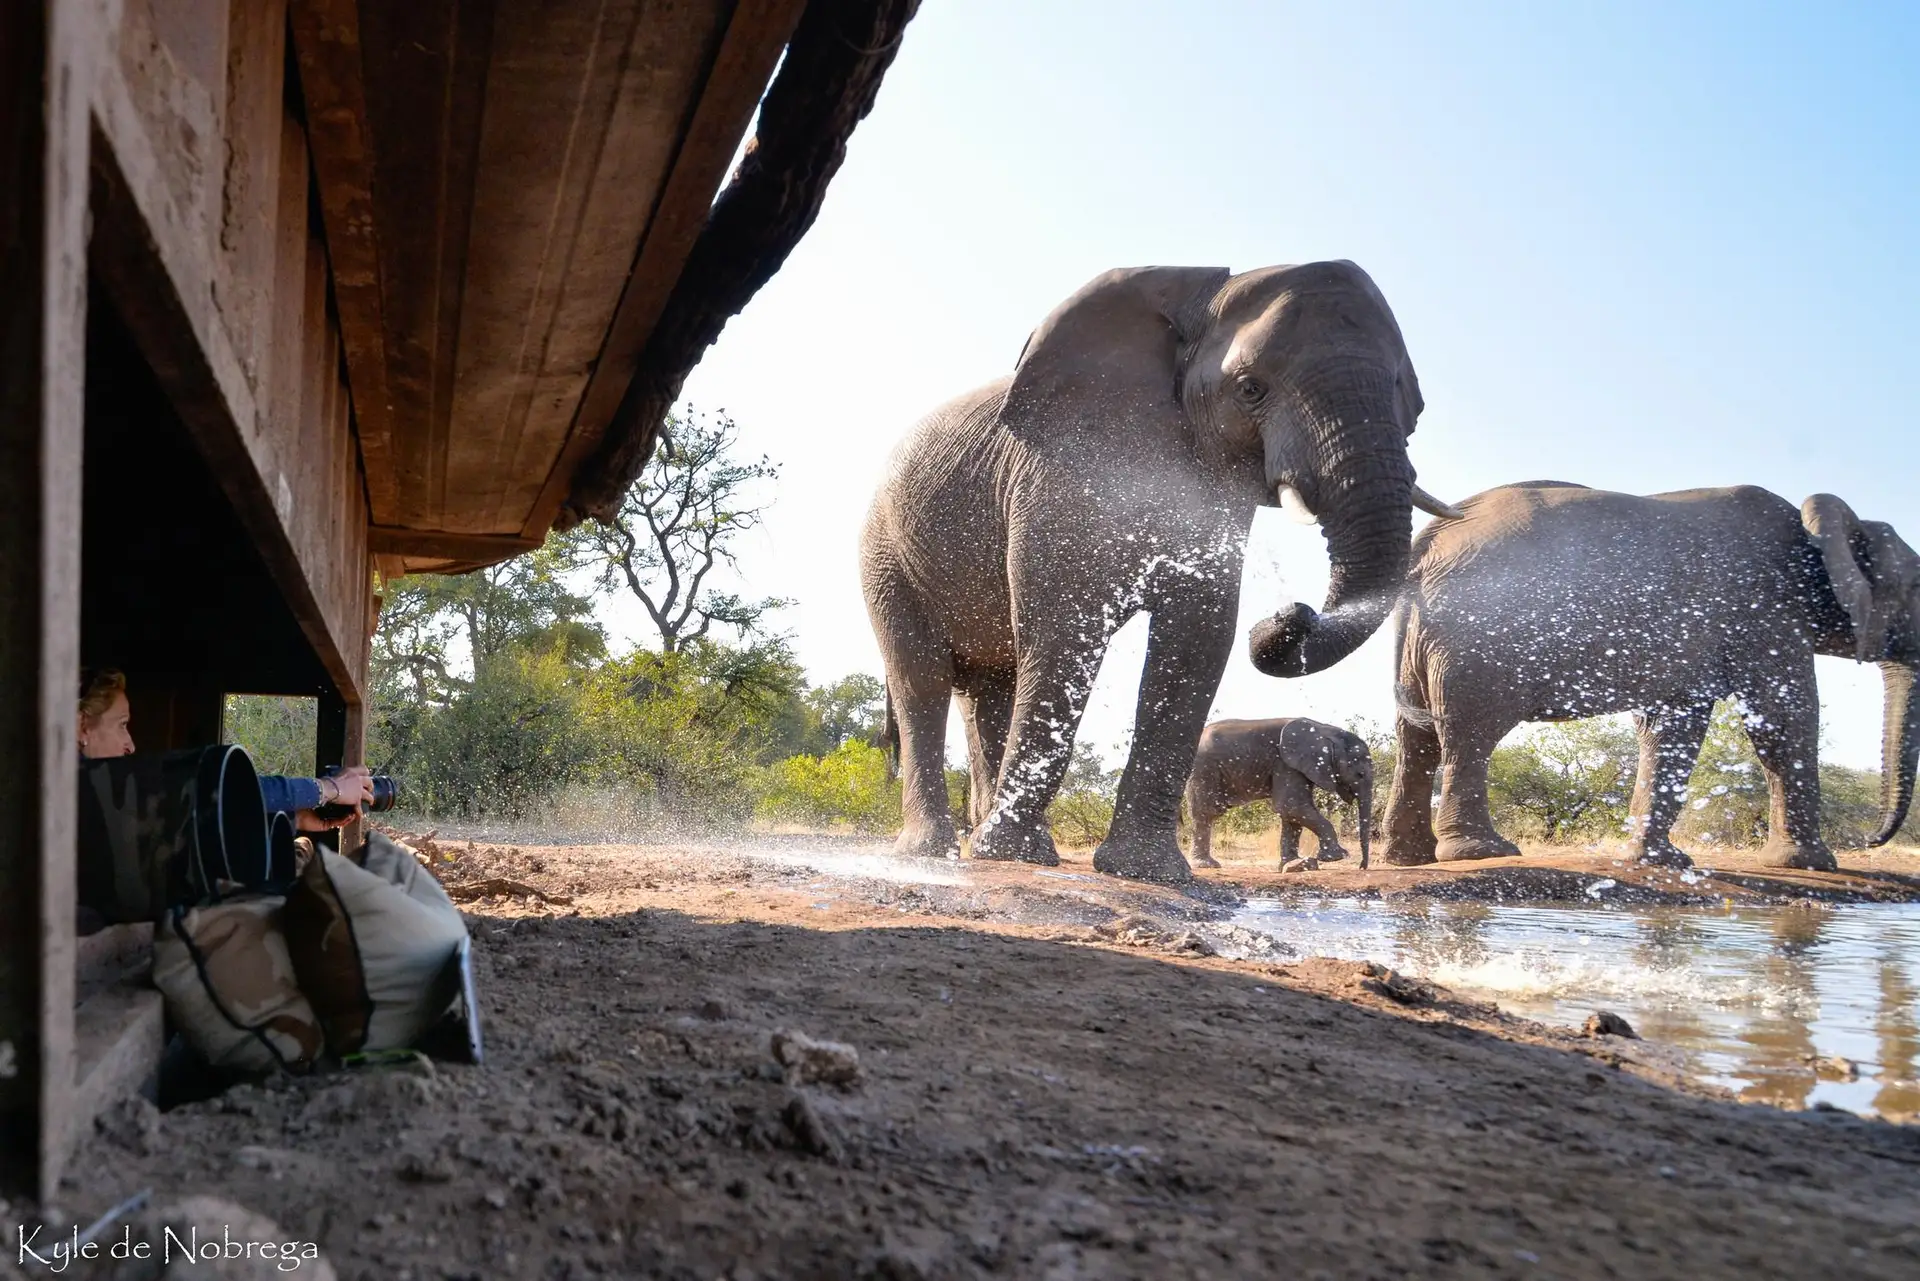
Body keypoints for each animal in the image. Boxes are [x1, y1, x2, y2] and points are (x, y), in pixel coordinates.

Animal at [1175, 722, 1374, 871]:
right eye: (1360, 774)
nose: (1361, 867)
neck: (1325, 730)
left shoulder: (1297, 766)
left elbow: (1291, 813)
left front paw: (1295, 865)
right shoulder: (1286, 763)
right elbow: (1291, 806)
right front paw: (1337, 856)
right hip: (1204, 769)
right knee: (1206, 813)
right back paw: (1207, 865)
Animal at [1382, 480, 1920, 871]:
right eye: (1917, 589)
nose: (1870, 840)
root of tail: (1425, 547)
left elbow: (1671, 728)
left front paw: (1660, 861)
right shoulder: (1767, 610)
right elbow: (1785, 719)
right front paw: (1810, 866)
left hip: (1429, 643)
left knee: (1419, 739)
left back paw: (1409, 859)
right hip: (1481, 637)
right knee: (1472, 733)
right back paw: (1483, 853)